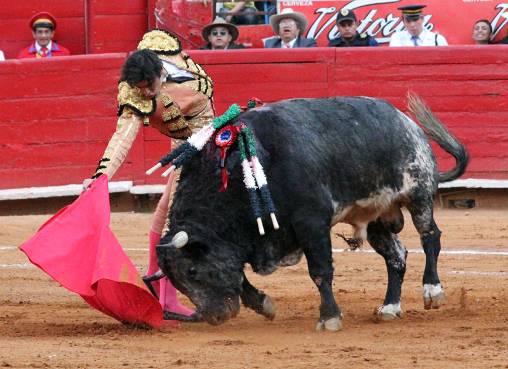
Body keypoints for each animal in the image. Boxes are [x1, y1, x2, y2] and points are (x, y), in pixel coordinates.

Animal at [154, 93, 468, 330]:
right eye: (177, 281)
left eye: (192, 271)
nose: (214, 317)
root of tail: (408, 123)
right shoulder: (245, 241)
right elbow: (240, 277)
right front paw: (265, 305)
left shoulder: (312, 223)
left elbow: (319, 271)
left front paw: (329, 317)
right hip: (378, 217)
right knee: (396, 256)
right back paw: (390, 307)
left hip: (418, 193)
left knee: (430, 237)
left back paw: (433, 291)